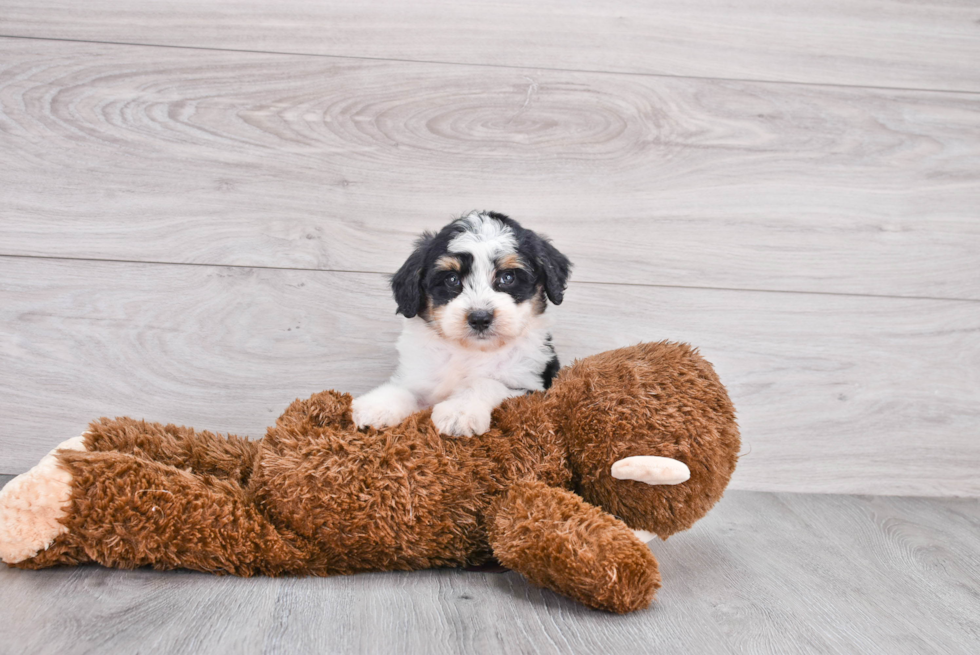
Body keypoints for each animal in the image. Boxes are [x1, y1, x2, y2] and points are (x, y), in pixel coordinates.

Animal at [352, 211, 572, 436]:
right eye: (451, 279)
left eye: (508, 277)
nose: (480, 318)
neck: (470, 351)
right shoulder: (419, 375)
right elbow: (406, 389)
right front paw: (377, 406)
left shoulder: (529, 387)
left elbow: (484, 383)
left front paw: (459, 411)